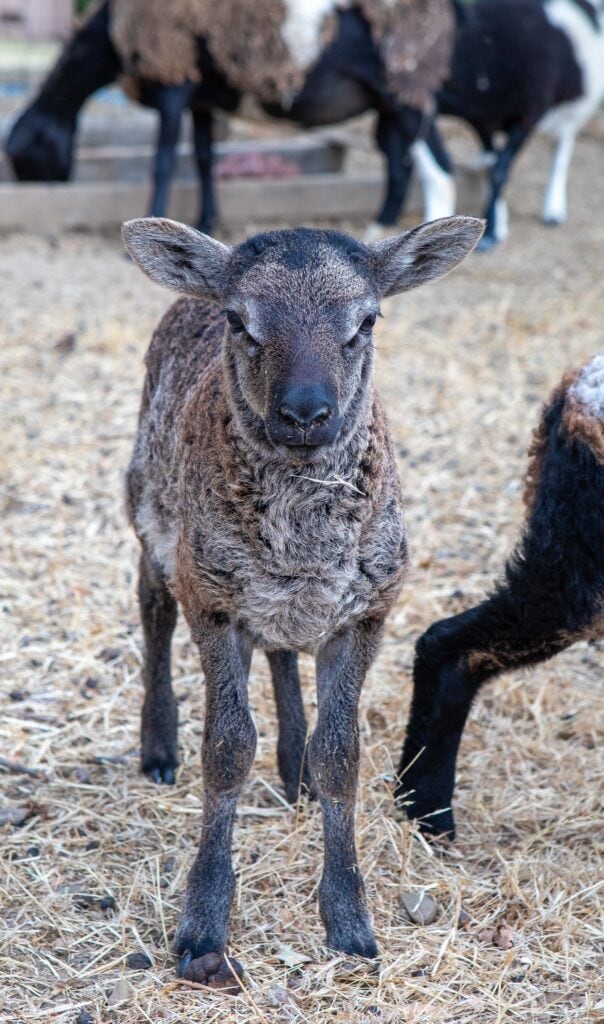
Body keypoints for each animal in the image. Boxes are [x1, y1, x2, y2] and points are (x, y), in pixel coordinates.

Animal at [5, 0, 456, 235]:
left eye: (25, 157)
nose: (44, 192)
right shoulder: (201, 101)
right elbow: (204, 161)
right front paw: (207, 221)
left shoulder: (173, 86)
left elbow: (164, 163)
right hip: (394, 102)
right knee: (403, 165)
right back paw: (385, 228)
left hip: (406, 93)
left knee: (437, 167)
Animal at [121, 212, 483, 976]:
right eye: (240, 321)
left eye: (367, 320)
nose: (306, 413)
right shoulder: (212, 595)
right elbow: (227, 749)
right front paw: (202, 926)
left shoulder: (369, 608)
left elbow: (341, 754)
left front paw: (350, 922)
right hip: (146, 506)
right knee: (152, 605)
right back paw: (158, 747)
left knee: (282, 648)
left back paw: (297, 776)